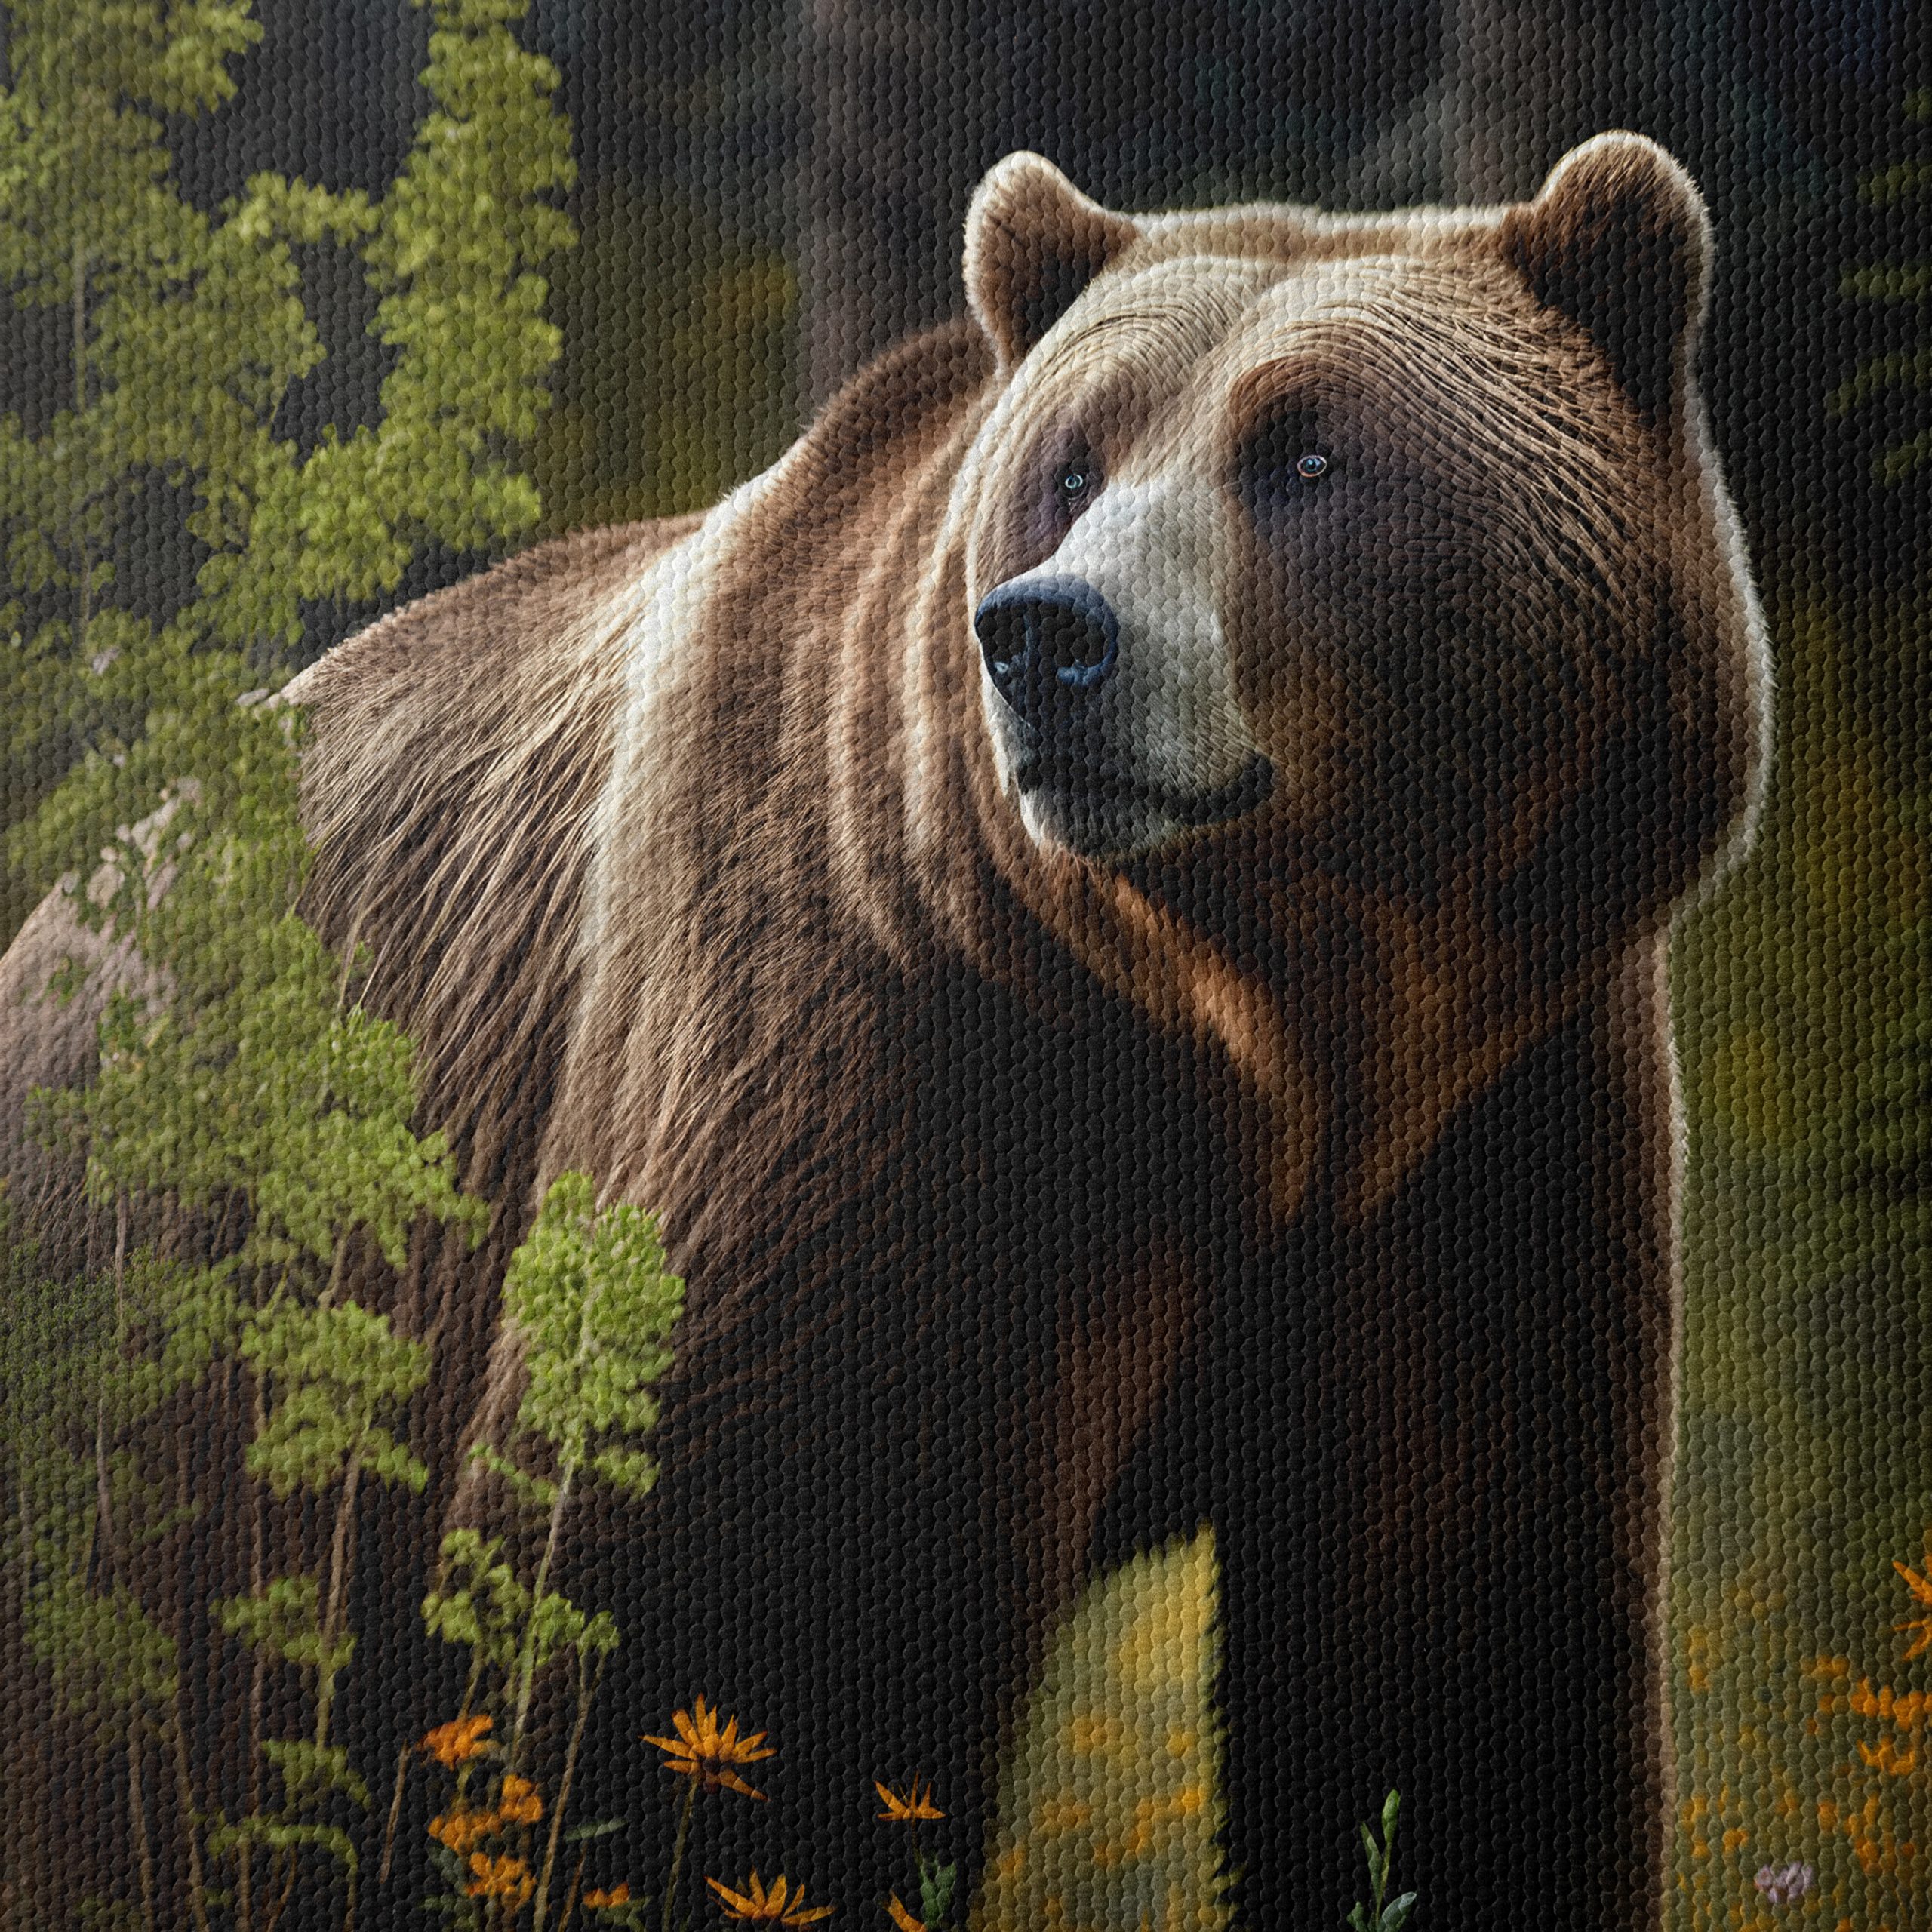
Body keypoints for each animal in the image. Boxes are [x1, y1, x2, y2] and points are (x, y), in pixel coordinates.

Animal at [0, 131, 1768, 1928]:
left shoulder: (1496, 1126)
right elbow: (726, 1622)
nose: (1050, 635)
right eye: (1073, 465)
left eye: (1306, 451)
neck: (1251, 1032)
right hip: (189, 1336)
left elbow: (1451, 1646)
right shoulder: (875, 1068)